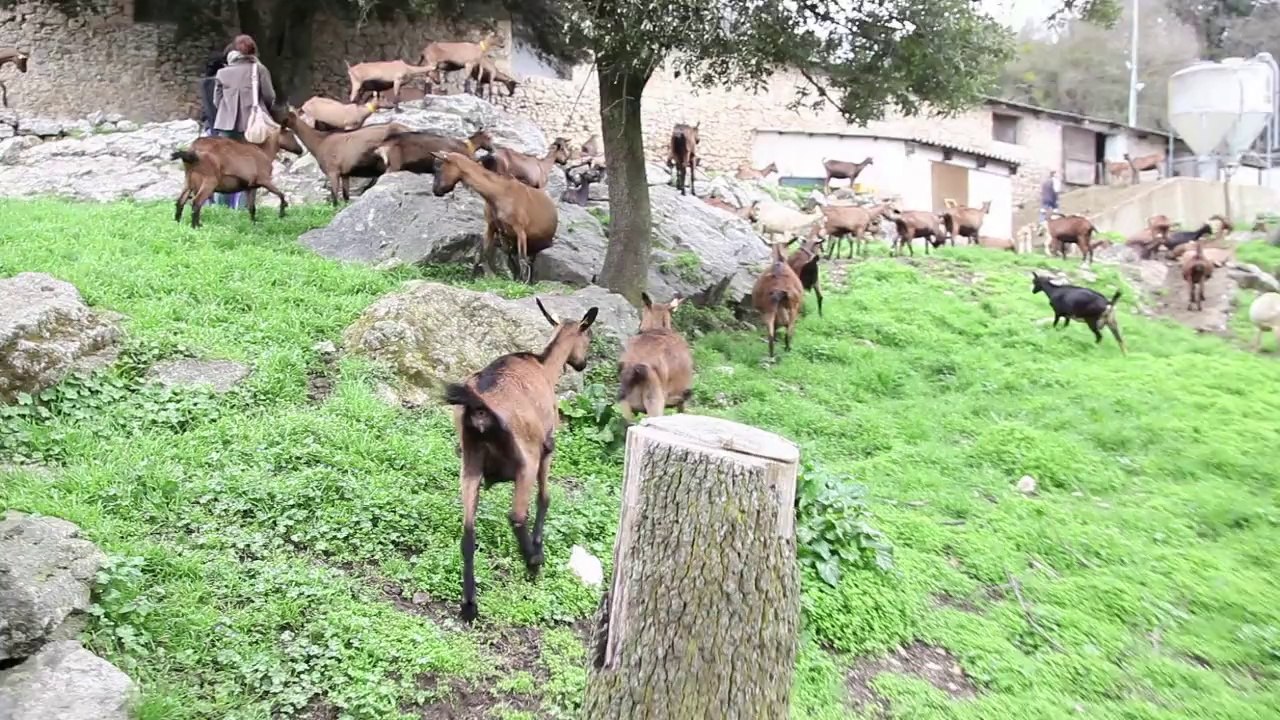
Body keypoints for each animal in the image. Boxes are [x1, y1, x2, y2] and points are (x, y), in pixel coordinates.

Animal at [170, 129, 301, 228]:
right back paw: (196, 226)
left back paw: (177, 223)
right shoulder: (264, 180)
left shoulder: (251, 187)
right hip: (209, 181)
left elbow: (252, 208)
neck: (264, 151)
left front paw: (253, 224)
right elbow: (281, 194)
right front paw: (282, 212)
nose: (300, 150)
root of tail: (192, 151)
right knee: (196, 203)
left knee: (180, 201)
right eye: (291, 135)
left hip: (189, 181)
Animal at [432, 150, 557, 283]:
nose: (436, 190)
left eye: (439, 168)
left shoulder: (520, 231)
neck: (499, 192)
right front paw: (471, 279)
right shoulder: (492, 227)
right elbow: (480, 255)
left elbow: (522, 259)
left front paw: (522, 283)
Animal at [445, 298, 599, 622]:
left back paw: (469, 605)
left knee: (468, 532)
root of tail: (479, 408)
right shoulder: (547, 448)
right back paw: (533, 561)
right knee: (516, 515)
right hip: (524, 460)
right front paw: (538, 546)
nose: (582, 363)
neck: (544, 367)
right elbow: (545, 497)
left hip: (470, 463)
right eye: (589, 337)